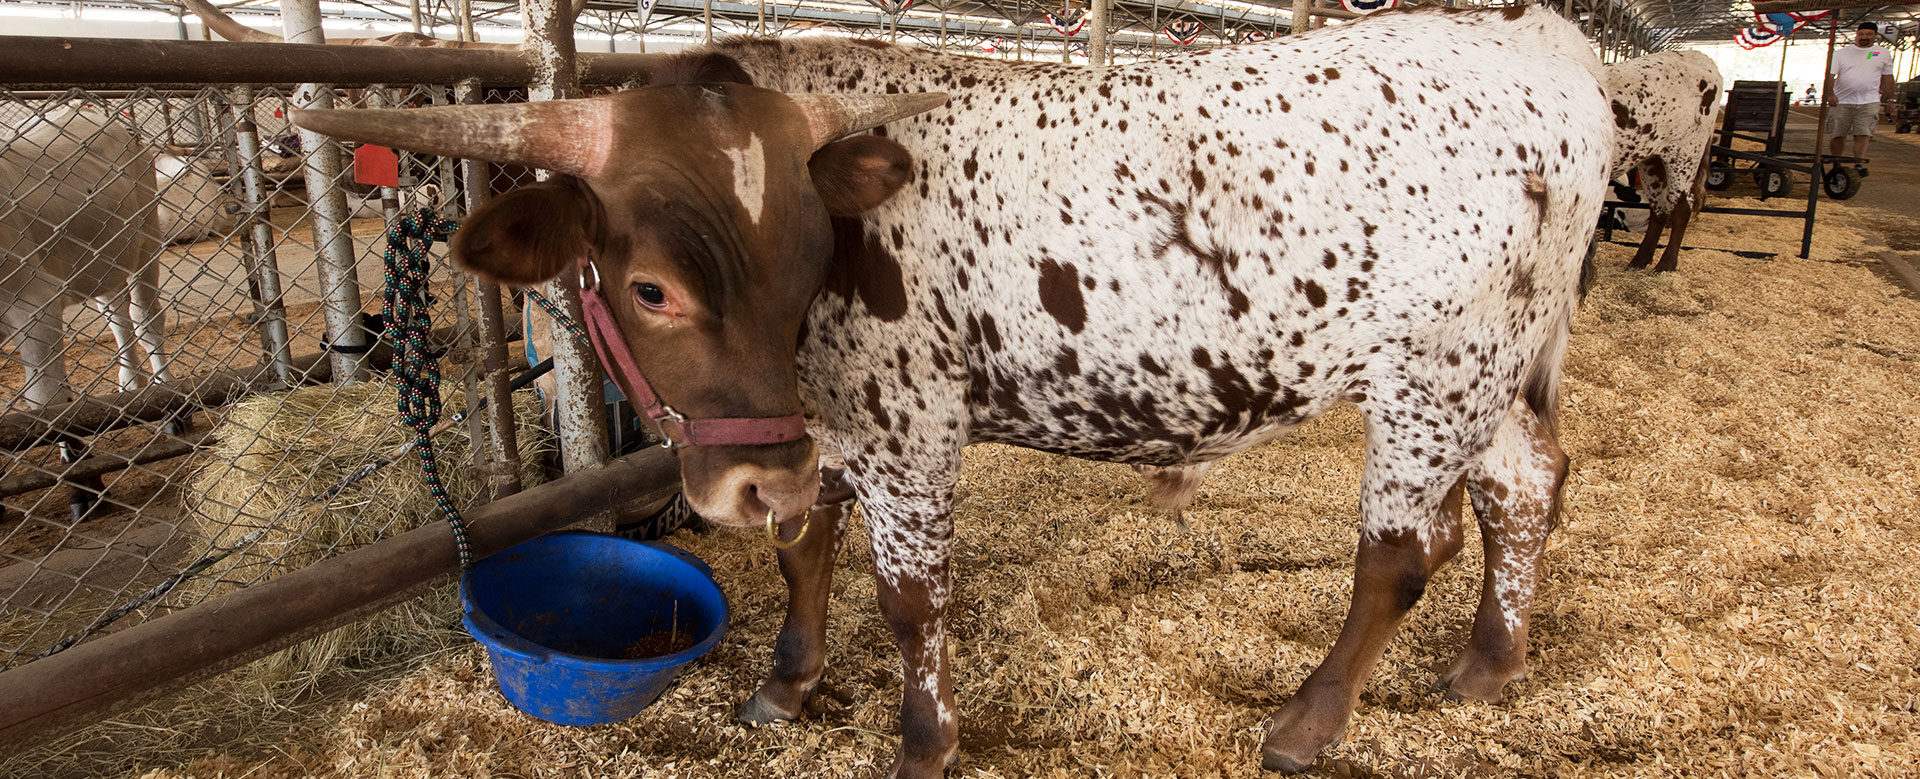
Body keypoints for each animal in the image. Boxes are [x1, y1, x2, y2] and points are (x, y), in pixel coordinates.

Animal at [303, 4, 1620, 771]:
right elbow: (805, 547)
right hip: (1492, 377)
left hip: (1435, 372)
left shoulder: (905, 431)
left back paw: (1307, 721)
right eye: (649, 287)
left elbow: (910, 597)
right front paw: (786, 682)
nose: (740, 481)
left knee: (1400, 551)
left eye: (807, 261)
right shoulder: (825, 431)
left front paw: (922, 740)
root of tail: (1541, 36)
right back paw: (1489, 663)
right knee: (1524, 489)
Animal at [1597, 49, 1720, 274]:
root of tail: (1699, 56)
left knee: (1681, 208)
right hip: (1653, 160)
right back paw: (1640, 260)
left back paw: (1666, 264)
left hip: (1685, 152)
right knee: (1659, 208)